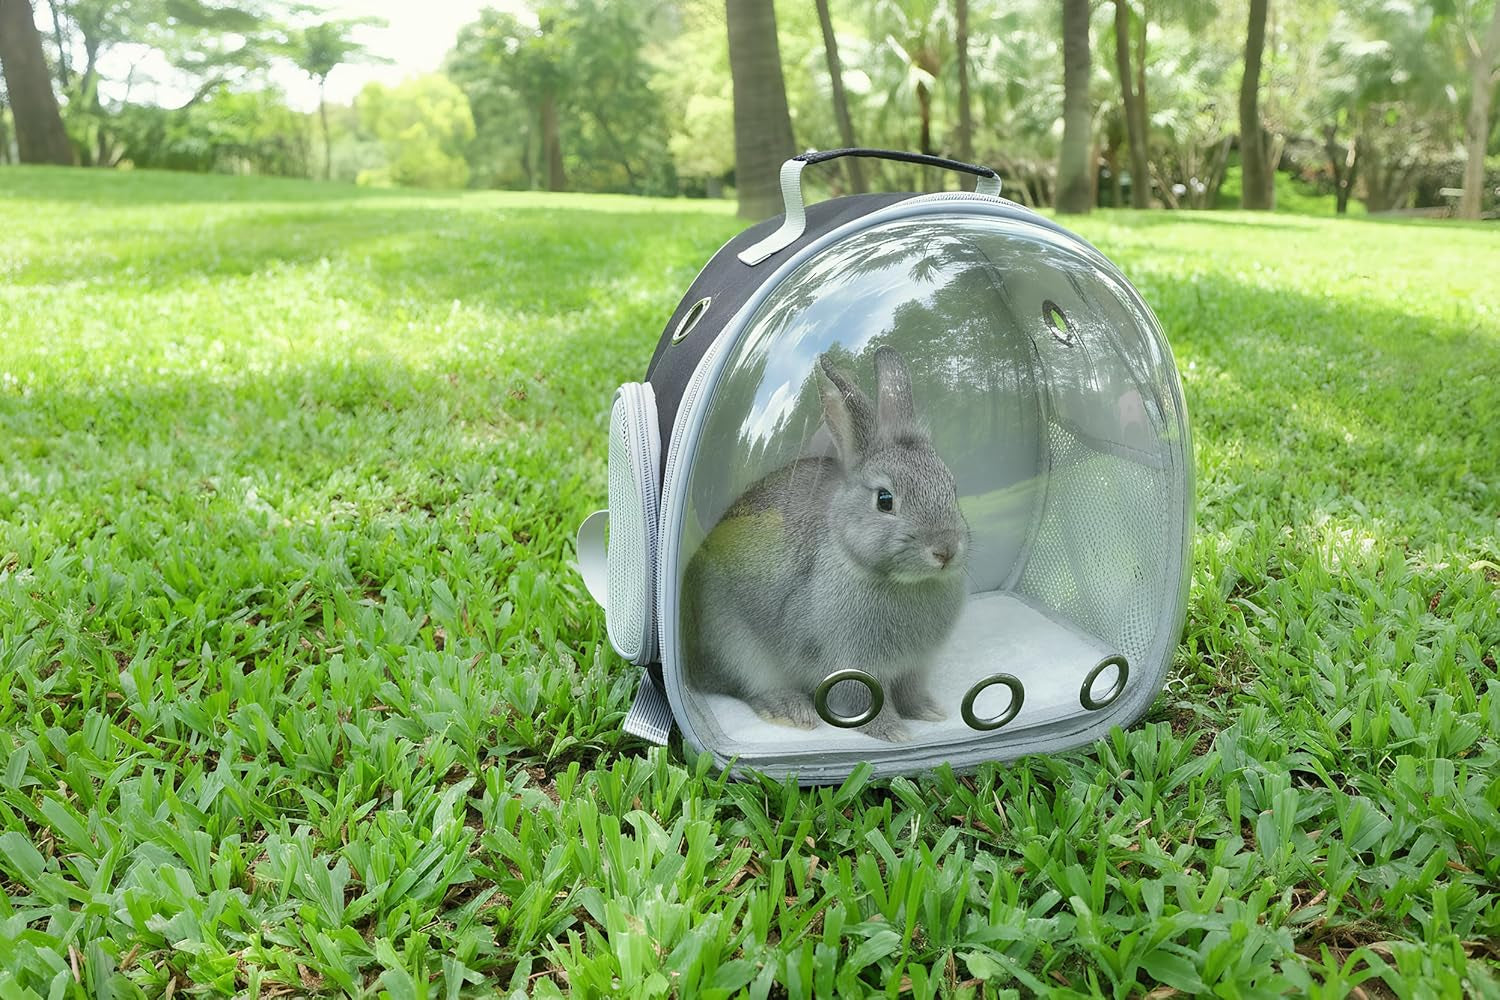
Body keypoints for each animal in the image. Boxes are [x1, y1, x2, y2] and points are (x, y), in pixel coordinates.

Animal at [682, 345, 970, 743]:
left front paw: (928, 713)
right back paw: (791, 710)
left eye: (952, 487)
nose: (945, 550)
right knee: (751, 686)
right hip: (736, 646)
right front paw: (895, 733)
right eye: (885, 500)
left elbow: (911, 692)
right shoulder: (849, 664)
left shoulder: (913, 667)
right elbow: (863, 704)